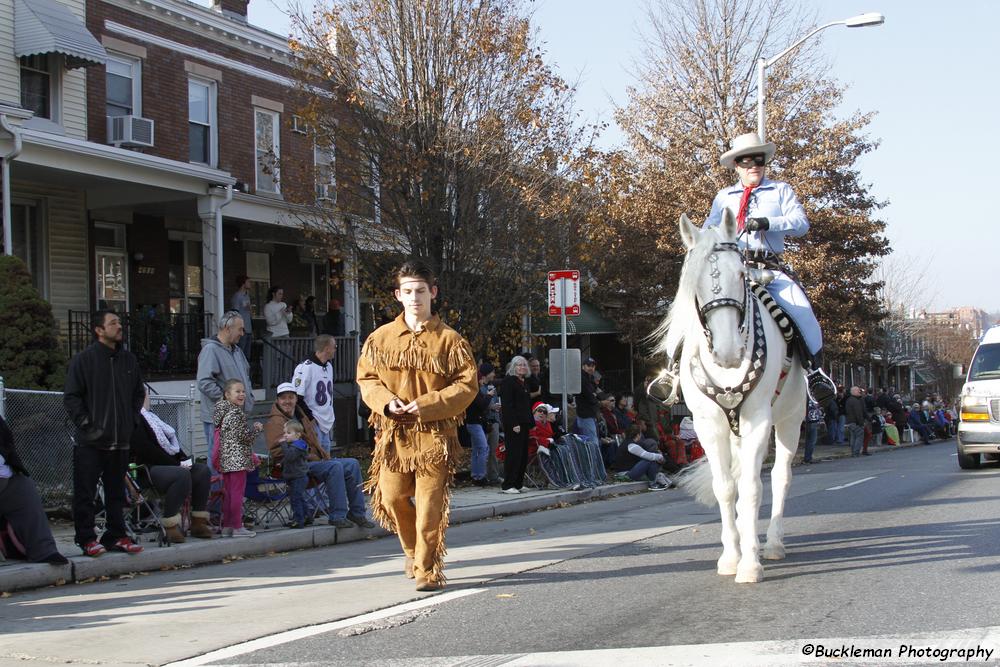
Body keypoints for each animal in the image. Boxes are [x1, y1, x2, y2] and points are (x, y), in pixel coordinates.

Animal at [660, 210, 808, 584]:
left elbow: (754, 488)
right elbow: (726, 488)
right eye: (693, 282)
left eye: (740, 275)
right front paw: (731, 556)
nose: (728, 353)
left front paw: (750, 564)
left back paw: (772, 543)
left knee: (780, 477)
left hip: (790, 420)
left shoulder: (758, 421)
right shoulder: (709, 425)